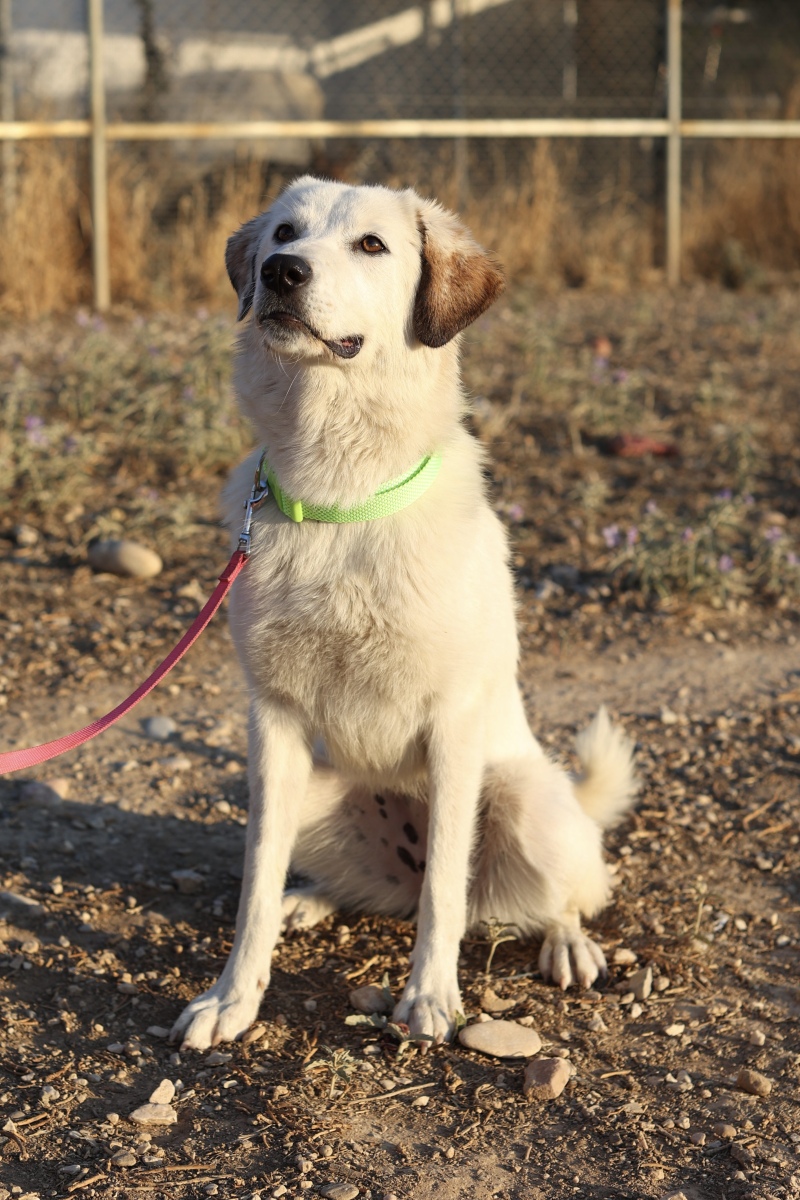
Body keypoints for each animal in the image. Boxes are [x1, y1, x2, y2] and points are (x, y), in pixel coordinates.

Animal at [171, 176, 636, 1050]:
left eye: (372, 245)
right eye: (284, 233)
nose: (282, 272)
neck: (340, 499)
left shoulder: (452, 725)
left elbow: (444, 895)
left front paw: (429, 997)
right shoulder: (273, 724)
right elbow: (254, 885)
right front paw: (232, 998)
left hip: (521, 801)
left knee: (554, 895)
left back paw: (567, 943)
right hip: (315, 793)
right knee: (368, 887)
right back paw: (311, 900)